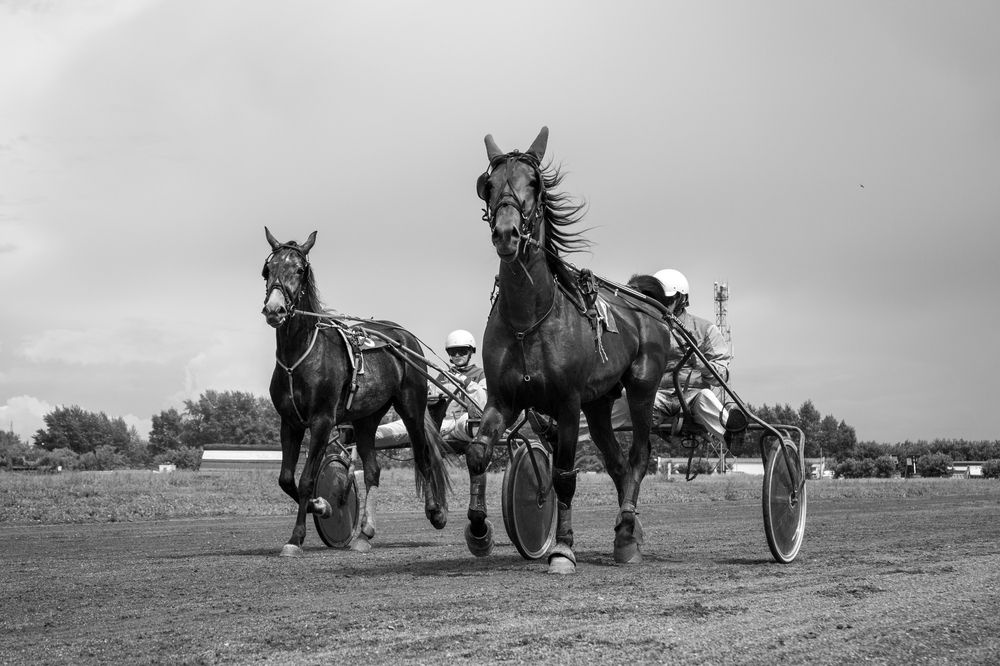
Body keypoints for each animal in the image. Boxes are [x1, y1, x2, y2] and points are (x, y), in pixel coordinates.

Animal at [260, 227, 452, 557]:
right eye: (267, 270)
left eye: (299, 270)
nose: (275, 309)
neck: (299, 357)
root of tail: (403, 335)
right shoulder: (290, 422)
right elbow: (286, 479)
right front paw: (323, 505)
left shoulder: (322, 421)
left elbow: (307, 478)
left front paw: (296, 537)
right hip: (366, 418)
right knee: (373, 470)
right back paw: (365, 533)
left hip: (411, 406)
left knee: (424, 454)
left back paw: (435, 511)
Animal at [464, 127, 672, 573]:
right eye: (489, 184)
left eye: (534, 183)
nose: (506, 233)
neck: (528, 320)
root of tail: (645, 304)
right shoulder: (503, 399)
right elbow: (476, 453)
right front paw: (479, 531)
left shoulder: (567, 401)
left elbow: (563, 476)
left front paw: (561, 548)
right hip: (598, 403)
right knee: (616, 463)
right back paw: (627, 530)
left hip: (642, 388)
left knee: (639, 455)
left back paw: (627, 529)